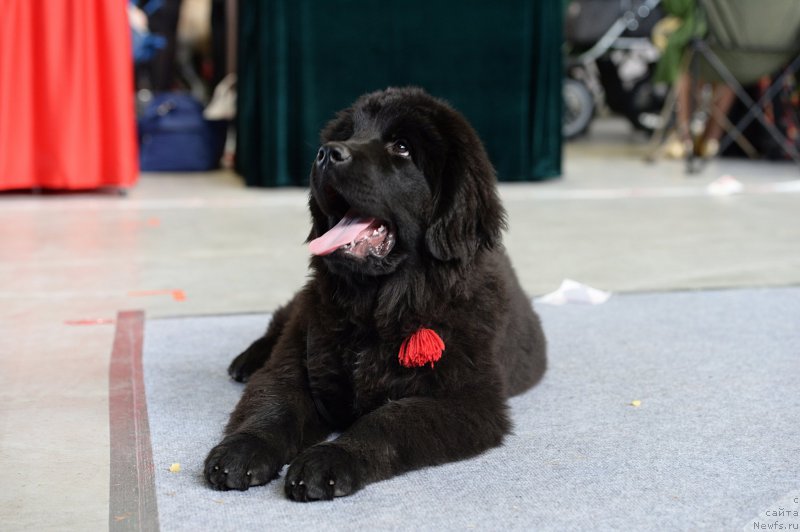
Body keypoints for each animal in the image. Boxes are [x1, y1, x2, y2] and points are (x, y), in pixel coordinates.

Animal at [203, 86, 548, 498]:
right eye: (350, 134)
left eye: (401, 148)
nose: (326, 153)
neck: (377, 309)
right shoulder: (297, 363)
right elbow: (273, 403)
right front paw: (242, 449)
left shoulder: (468, 401)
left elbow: (388, 420)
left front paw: (330, 460)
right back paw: (247, 359)